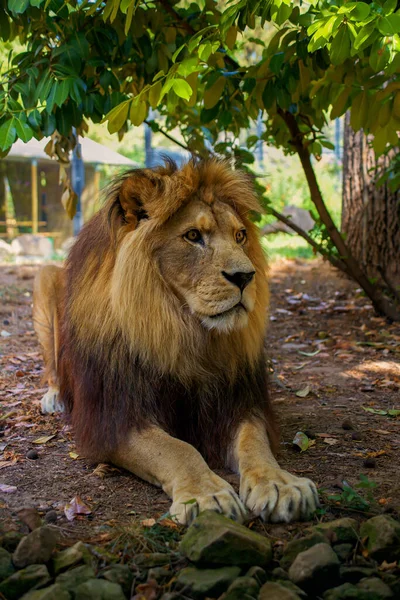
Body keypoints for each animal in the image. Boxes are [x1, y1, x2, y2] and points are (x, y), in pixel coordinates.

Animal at [32, 161, 318, 524]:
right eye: (193, 236)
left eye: (240, 236)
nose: (245, 277)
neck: (183, 333)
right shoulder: (115, 418)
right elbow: (178, 449)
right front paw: (206, 494)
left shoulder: (238, 403)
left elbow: (254, 444)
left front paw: (281, 484)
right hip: (44, 278)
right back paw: (54, 397)